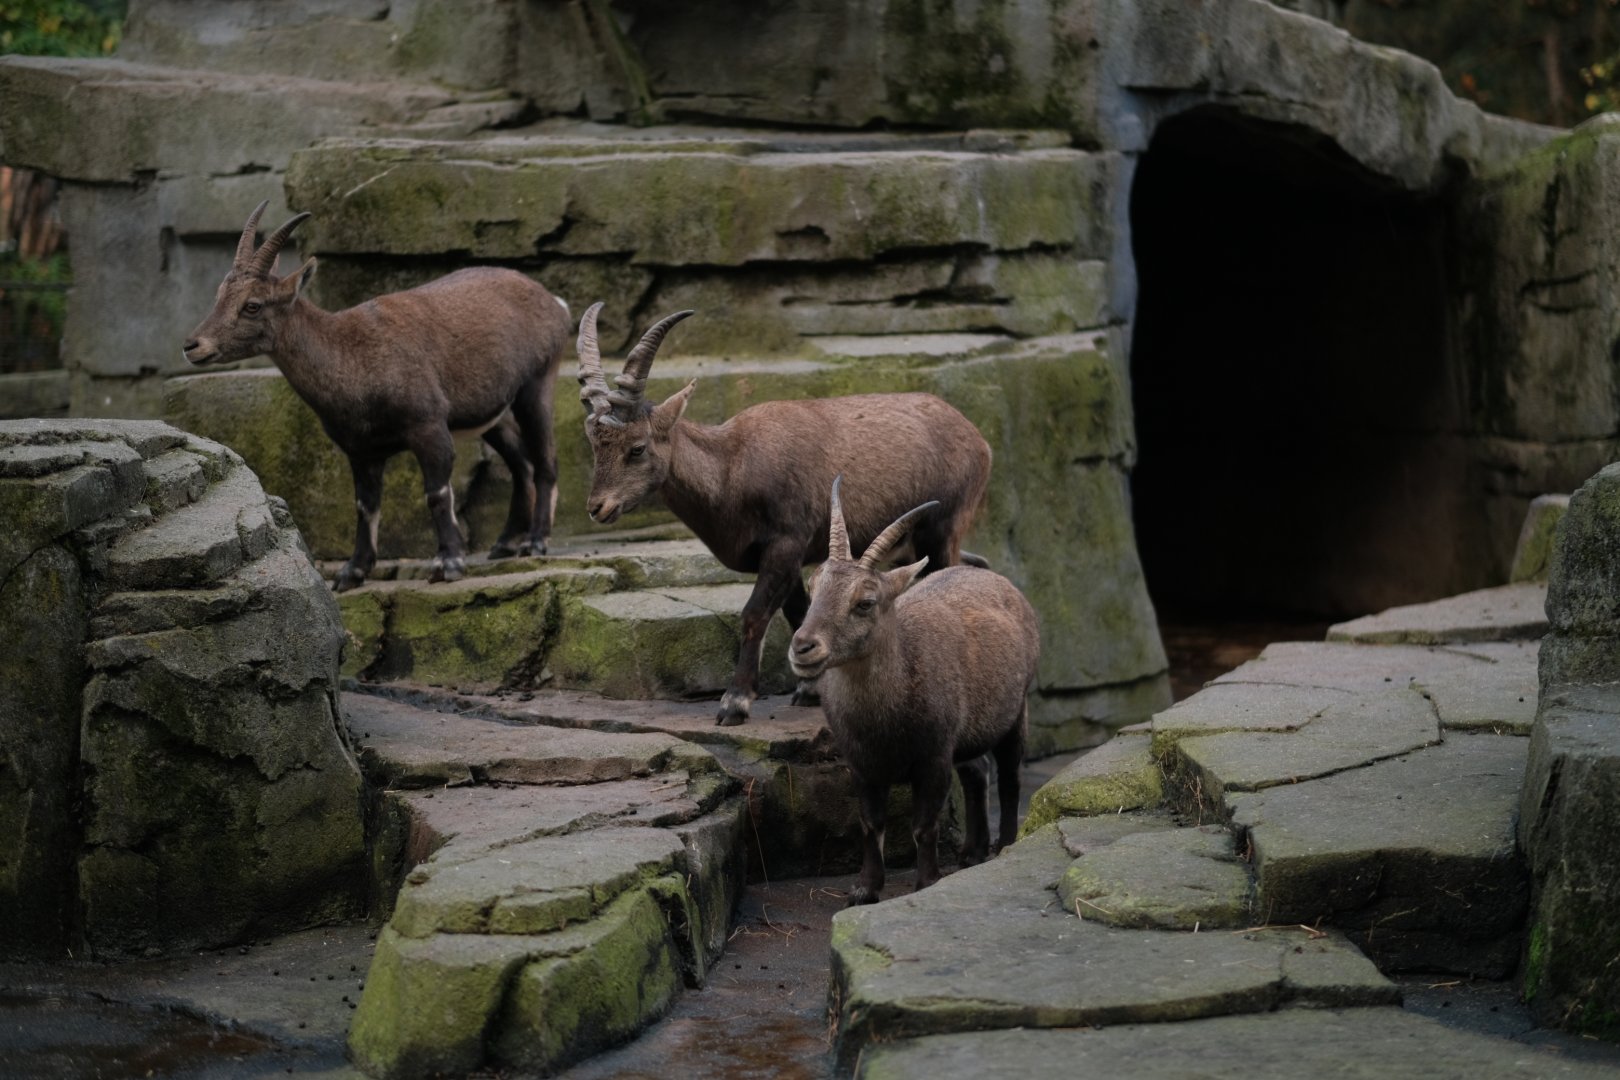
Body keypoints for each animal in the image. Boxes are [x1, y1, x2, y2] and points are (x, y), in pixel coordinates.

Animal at [182, 202, 570, 590]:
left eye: (253, 305)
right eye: (220, 296)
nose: (192, 345)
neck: (351, 357)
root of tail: (555, 303)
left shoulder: (429, 426)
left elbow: (436, 494)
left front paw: (448, 562)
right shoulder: (361, 450)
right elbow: (365, 506)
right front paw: (353, 571)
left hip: (536, 385)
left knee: (545, 460)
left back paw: (536, 541)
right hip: (492, 413)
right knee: (521, 463)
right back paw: (505, 543)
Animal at [575, 302, 992, 725]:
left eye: (637, 448)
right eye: (594, 443)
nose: (598, 507)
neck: (732, 468)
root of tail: (977, 438)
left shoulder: (784, 544)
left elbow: (755, 614)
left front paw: (735, 702)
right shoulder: (786, 559)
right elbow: (798, 613)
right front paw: (809, 689)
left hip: (942, 529)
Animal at [789, 478, 1039, 904]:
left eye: (865, 602)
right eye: (813, 586)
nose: (803, 647)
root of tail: (1003, 583)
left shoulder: (933, 756)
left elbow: (924, 825)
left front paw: (926, 882)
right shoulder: (862, 763)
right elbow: (871, 824)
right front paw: (865, 888)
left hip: (1014, 711)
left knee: (1009, 778)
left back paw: (1004, 845)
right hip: (966, 732)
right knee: (977, 771)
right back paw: (972, 851)